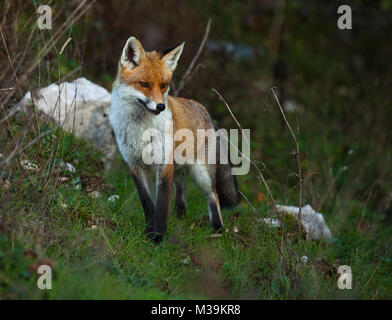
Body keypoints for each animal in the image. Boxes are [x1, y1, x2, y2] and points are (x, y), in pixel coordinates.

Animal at [108, 37, 240, 242]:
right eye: (144, 84)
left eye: (163, 85)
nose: (161, 106)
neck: (140, 129)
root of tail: (202, 108)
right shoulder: (135, 166)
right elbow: (148, 205)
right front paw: (148, 232)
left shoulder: (163, 165)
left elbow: (162, 207)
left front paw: (157, 239)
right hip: (178, 165)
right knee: (182, 183)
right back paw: (180, 214)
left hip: (201, 172)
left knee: (213, 196)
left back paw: (217, 228)